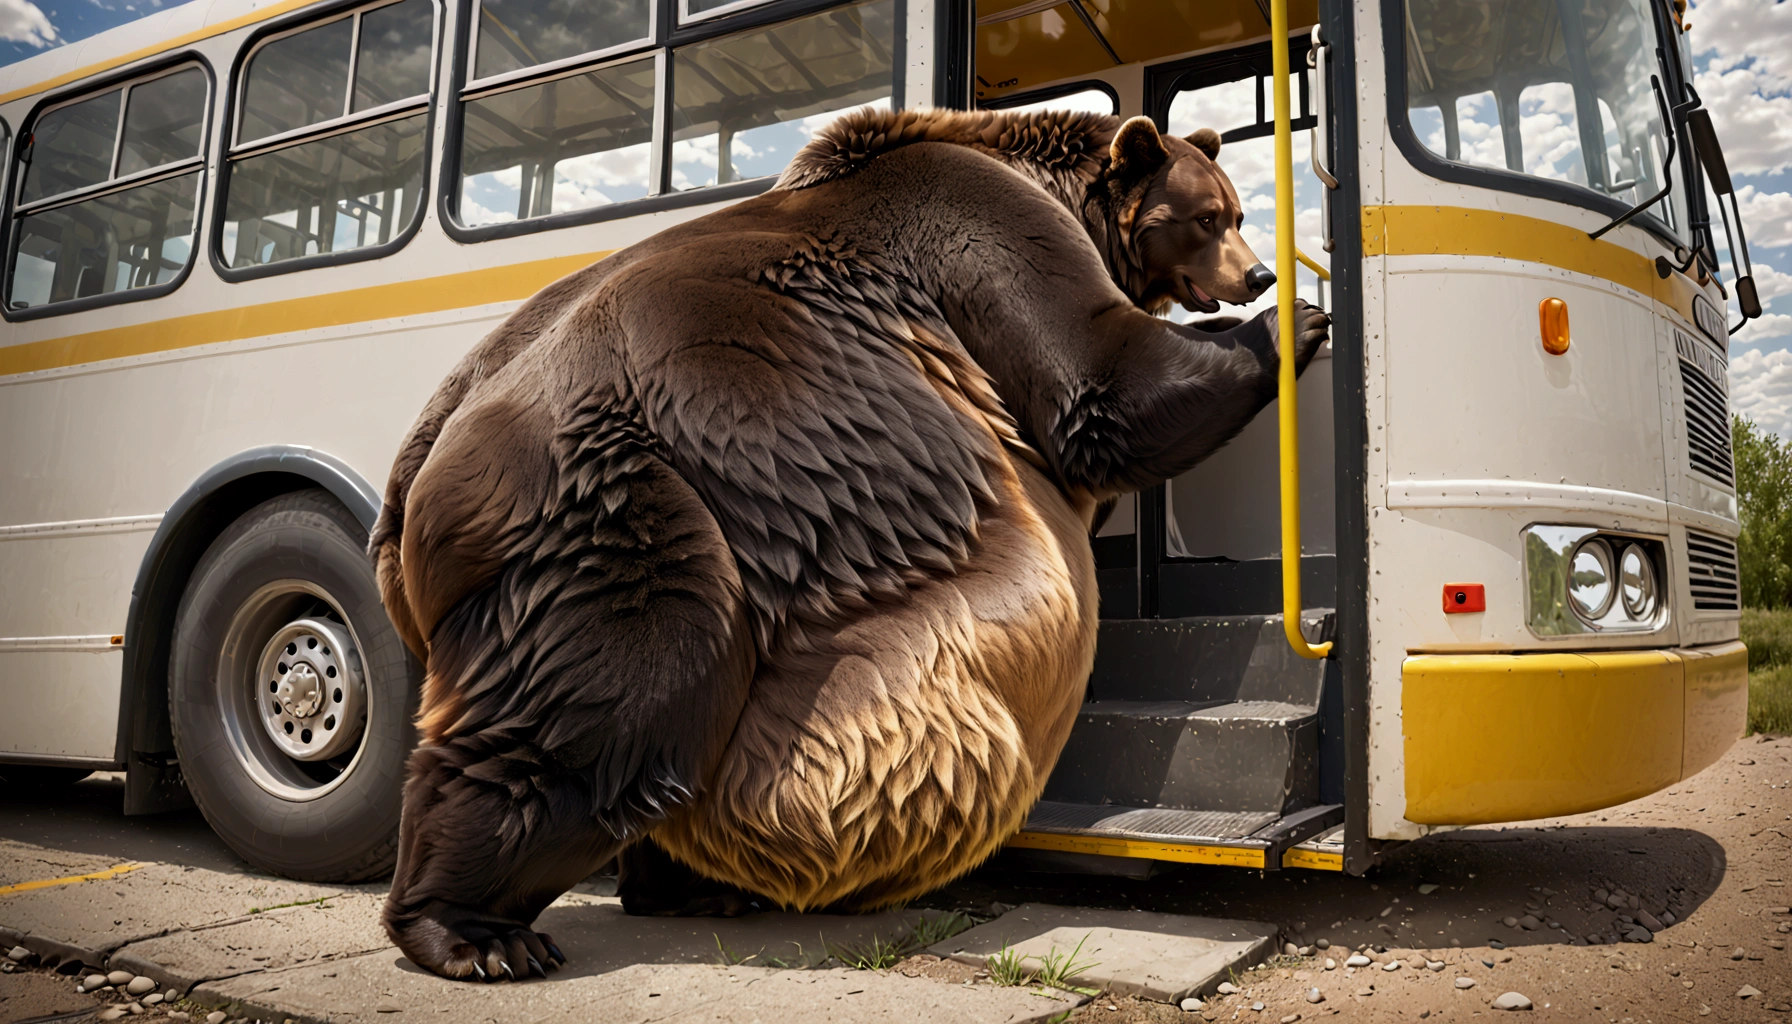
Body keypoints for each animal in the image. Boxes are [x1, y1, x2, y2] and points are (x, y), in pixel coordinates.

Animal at [374, 108, 1333, 982]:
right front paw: (1297, 322)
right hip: (610, 492)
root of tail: (416, 450)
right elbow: (1102, 387)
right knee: (616, 693)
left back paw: (691, 889)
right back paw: (473, 931)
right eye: (1208, 215)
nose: (1256, 271)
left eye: (1232, 208)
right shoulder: (984, 244)